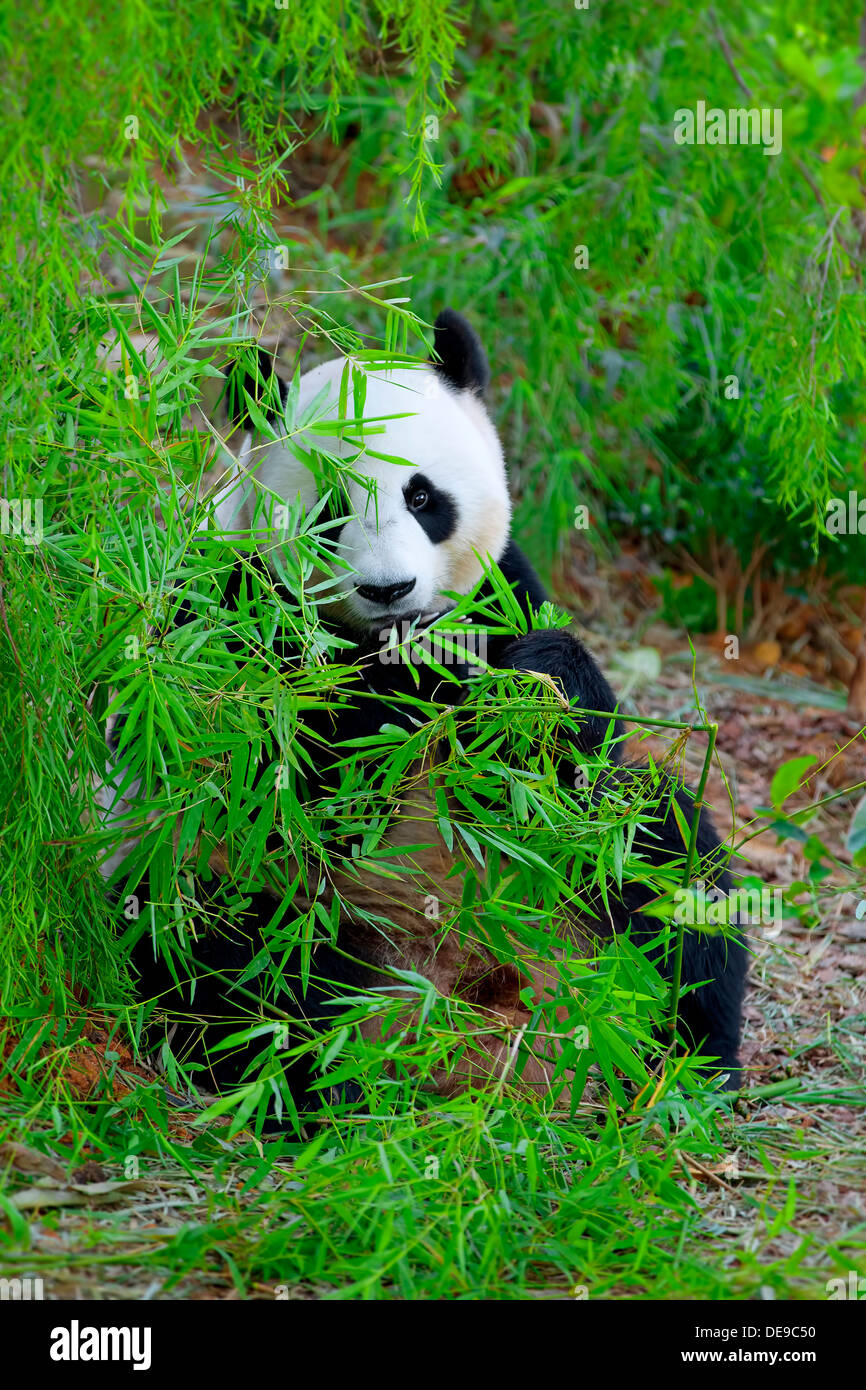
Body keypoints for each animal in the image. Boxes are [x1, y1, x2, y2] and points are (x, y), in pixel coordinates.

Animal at [107, 309, 745, 1112]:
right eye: (330, 512)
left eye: (422, 498)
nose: (389, 590)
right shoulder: (236, 614)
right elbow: (299, 781)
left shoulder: (501, 592)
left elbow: (568, 747)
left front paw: (529, 688)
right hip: (244, 888)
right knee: (228, 959)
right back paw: (326, 1082)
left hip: (579, 885)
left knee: (664, 863)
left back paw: (686, 1068)